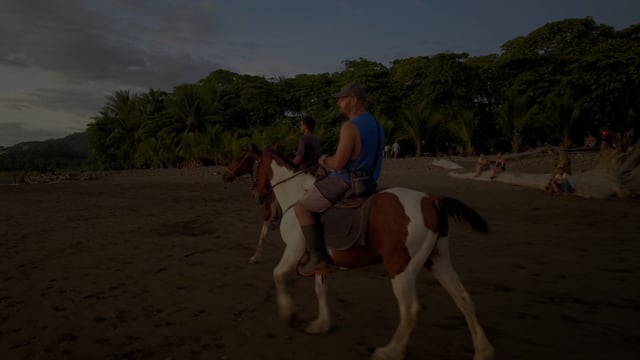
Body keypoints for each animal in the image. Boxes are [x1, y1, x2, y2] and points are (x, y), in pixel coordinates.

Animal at [251, 149, 496, 360]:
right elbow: (321, 291)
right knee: (463, 299)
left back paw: (390, 352)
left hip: (401, 269)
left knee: (410, 310)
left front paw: (288, 313)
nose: (258, 195)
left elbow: (278, 275)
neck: (296, 194)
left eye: (254, 167)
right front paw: (321, 324)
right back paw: (483, 350)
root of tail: (430, 199)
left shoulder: (293, 249)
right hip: (438, 261)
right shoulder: (318, 260)